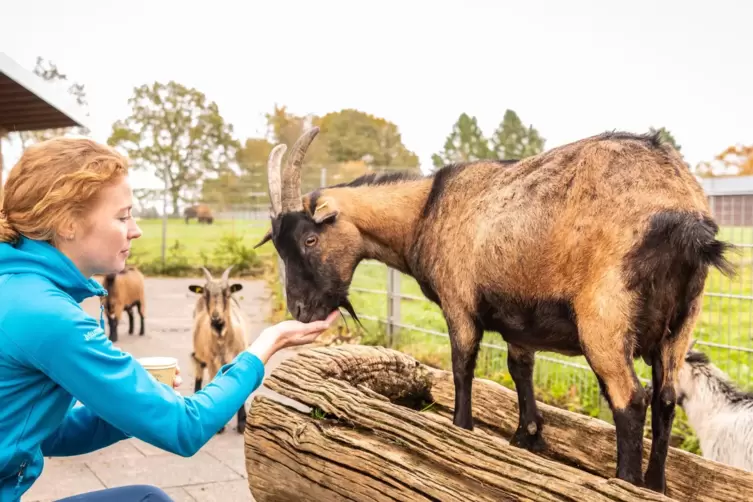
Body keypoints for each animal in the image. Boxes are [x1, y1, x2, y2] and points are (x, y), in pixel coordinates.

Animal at [188, 264, 247, 434]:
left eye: (227, 293)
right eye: (206, 294)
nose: (216, 318)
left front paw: (242, 424)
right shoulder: (212, 361)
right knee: (199, 369)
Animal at [254, 127, 736, 492]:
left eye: (310, 239)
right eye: (279, 245)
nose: (301, 310)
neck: (425, 210)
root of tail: (684, 213)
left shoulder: (459, 303)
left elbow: (462, 367)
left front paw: (461, 429)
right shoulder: (521, 324)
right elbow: (519, 370)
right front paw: (527, 438)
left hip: (605, 317)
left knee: (630, 399)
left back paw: (626, 482)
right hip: (682, 321)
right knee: (666, 397)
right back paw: (656, 484)